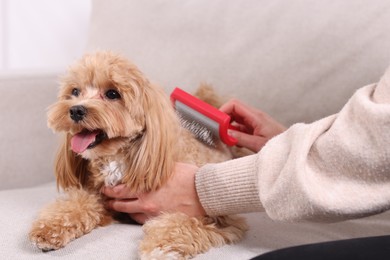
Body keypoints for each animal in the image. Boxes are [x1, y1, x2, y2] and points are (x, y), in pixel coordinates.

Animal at [29, 51, 247, 260]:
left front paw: (160, 248)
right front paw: (49, 228)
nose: (75, 110)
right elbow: (76, 204)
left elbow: (182, 222)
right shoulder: (100, 197)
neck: (118, 158)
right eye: (75, 91)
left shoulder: (214, 216)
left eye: (112, 94)